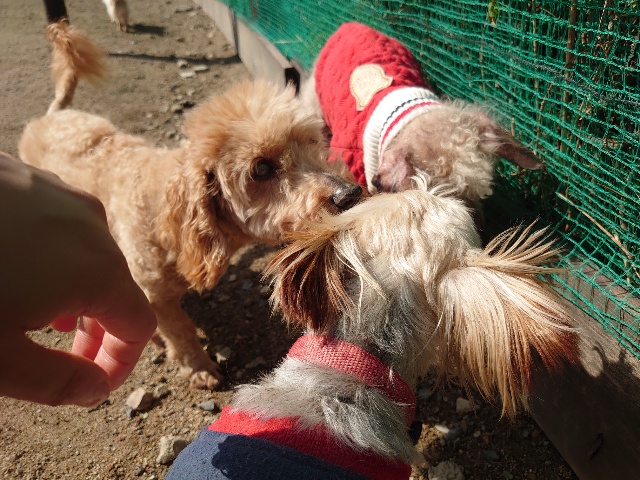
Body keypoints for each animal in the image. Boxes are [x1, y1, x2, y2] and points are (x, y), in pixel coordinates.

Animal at [19, 22, 363, 390]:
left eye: (312, 142)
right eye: (261, 169)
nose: (349, 194)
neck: (167, 218)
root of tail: (51, 113)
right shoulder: (153, 294)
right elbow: (179, 331)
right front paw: (198, 367)